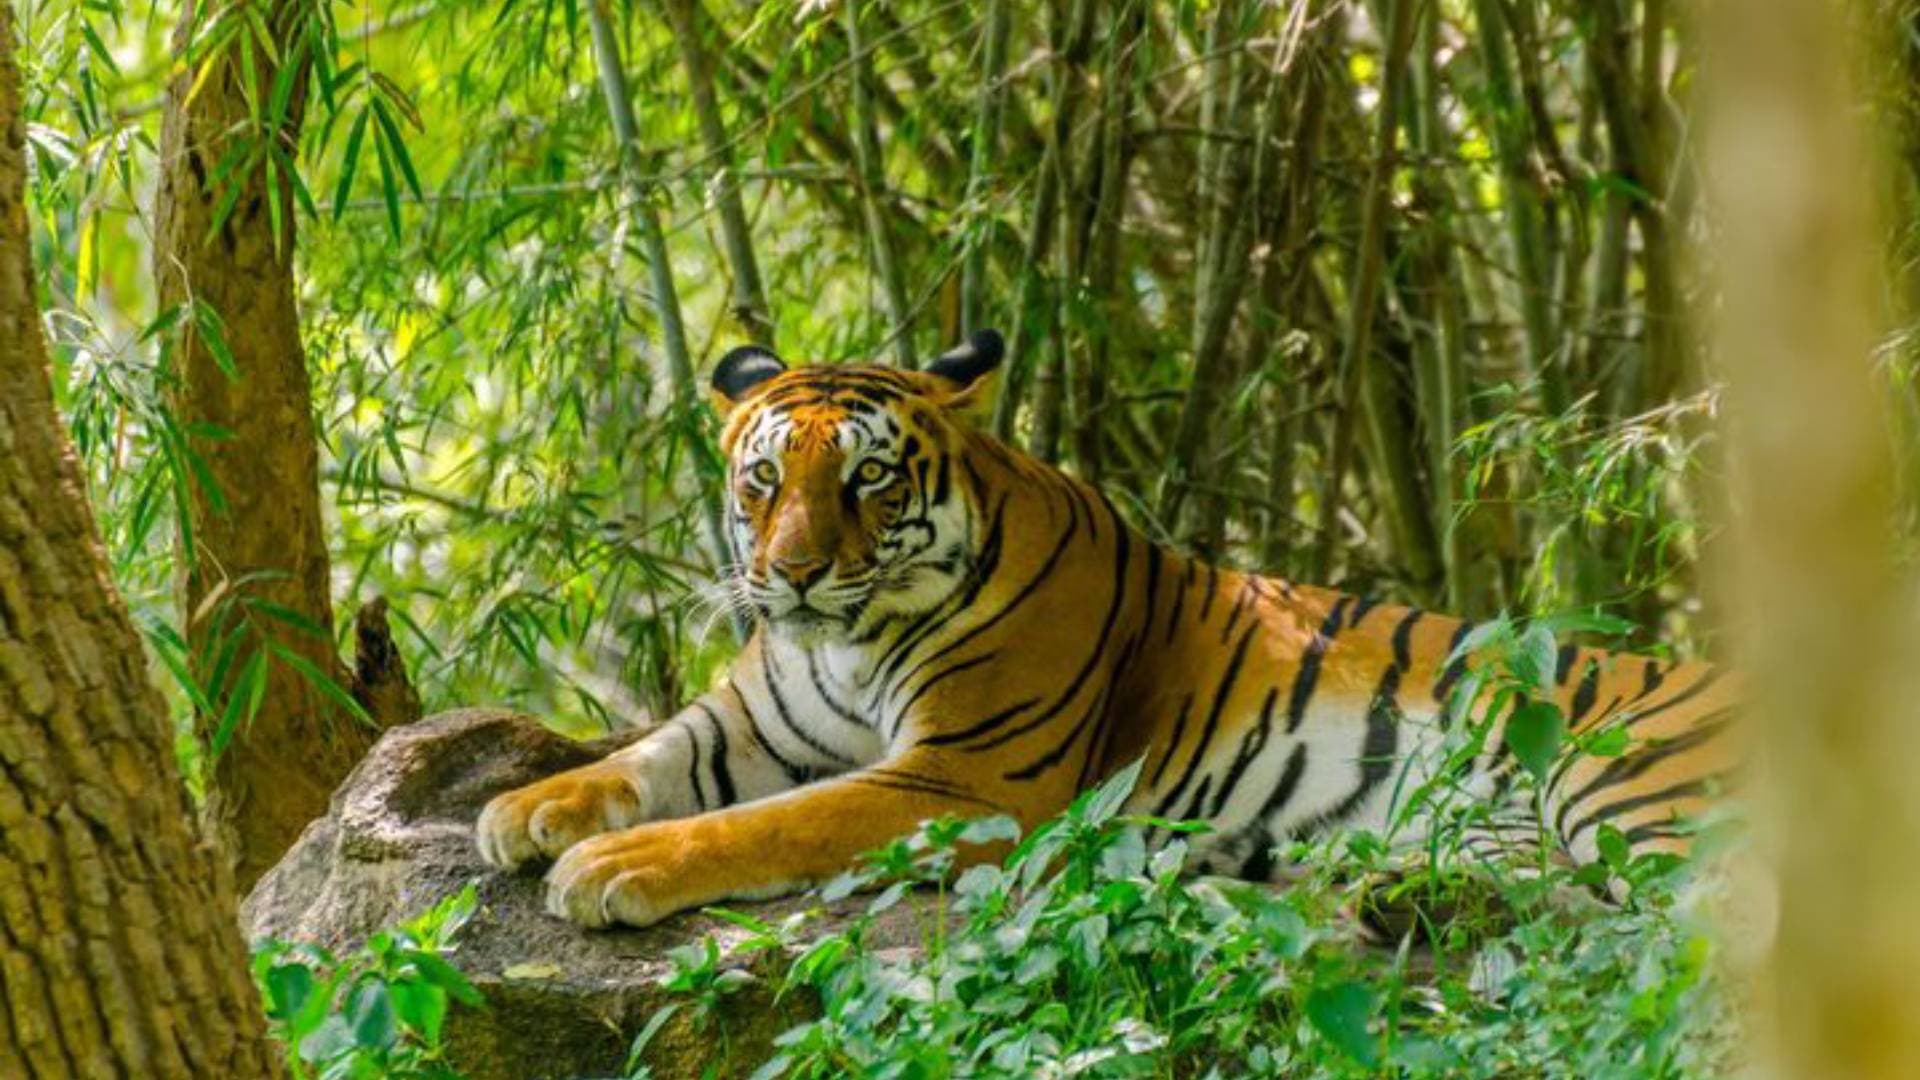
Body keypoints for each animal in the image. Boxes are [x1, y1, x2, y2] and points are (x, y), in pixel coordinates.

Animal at [475, 330, 1742, 929]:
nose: (789, 574)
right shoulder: (746, 723)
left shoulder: (964, 780)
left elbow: (770, 824)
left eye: (868, 479)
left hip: (1615, 780)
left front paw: (610, 866)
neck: (844, 635)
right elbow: (643, 758)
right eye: (763, 479)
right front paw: (525, 810)